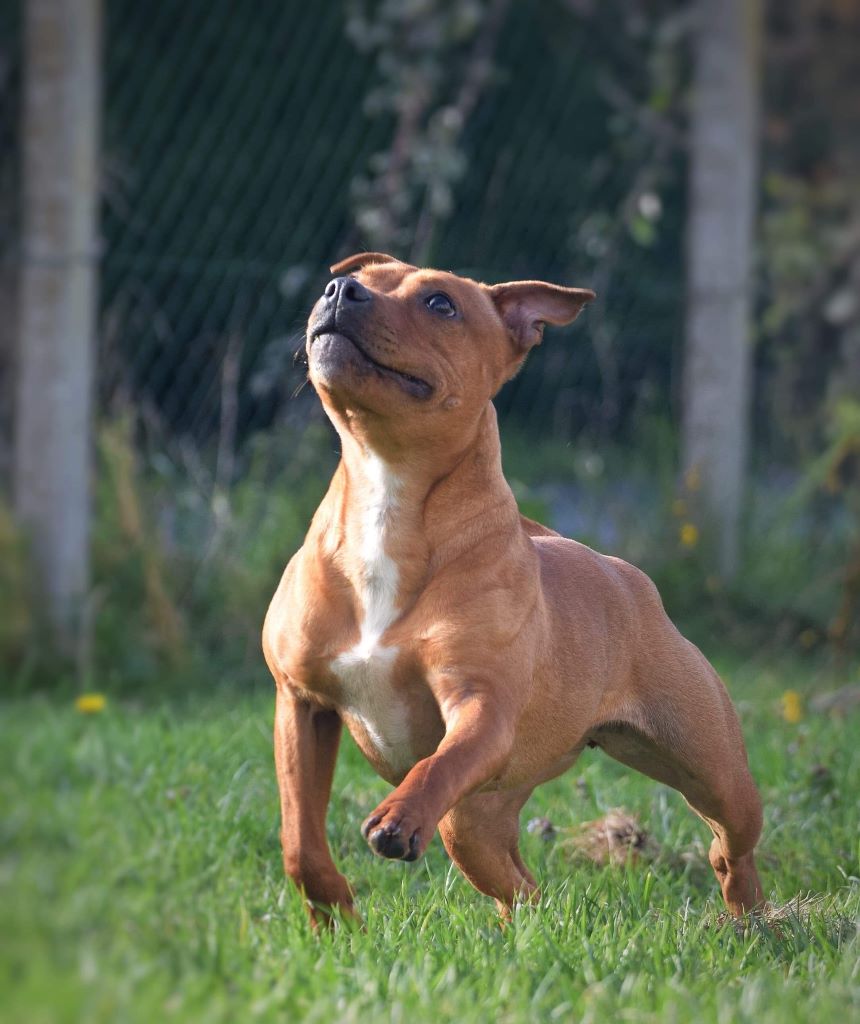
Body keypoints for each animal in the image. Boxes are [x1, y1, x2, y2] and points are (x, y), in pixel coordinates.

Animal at [264, 249, 765, 921]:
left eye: (440, 303)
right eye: (357, 280)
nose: (340, 289)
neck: (388, 495)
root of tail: (625, 575)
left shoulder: (479, 708)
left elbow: (436, 766)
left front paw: (399, 817)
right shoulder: (301, 704)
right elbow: (299, 838)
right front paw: (335, 911)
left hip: (711, 767)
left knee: (731, 844)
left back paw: (754, 917)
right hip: (478, 817)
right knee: (522, 888)